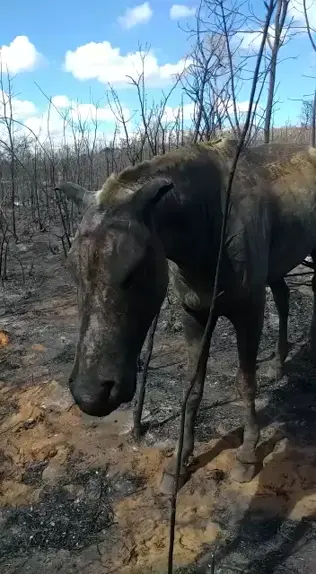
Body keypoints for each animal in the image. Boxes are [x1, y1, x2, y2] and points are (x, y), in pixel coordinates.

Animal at [55, 141, 316, 496]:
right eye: (72, 268)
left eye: (136, 269)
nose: (91, 394)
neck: (207, 231)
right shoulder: (194, 313)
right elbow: (192, 389)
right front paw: (180, 462)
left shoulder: (249, 311)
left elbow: (245, 383)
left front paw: (248, 454)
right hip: (278, 266)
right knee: (285, 297)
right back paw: (278, 363)